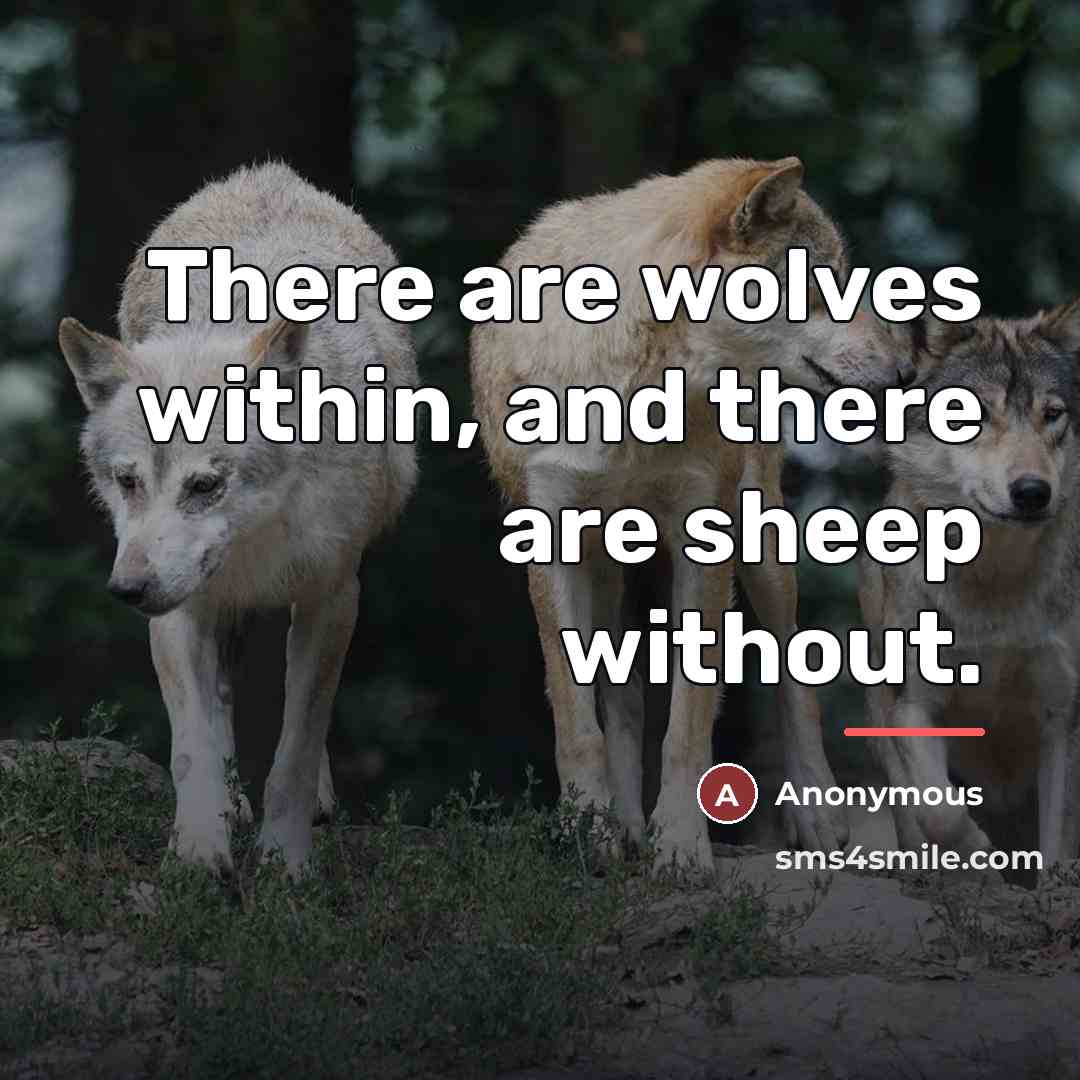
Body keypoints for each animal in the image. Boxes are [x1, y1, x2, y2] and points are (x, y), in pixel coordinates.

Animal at [59, 162, 418, 875]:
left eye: (205, 486)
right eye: (128, 482)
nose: (127, 589)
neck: (256, 539)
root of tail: (263, 174)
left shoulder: (334, 596)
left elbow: (297, 748)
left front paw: (287, 862)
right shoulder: (178, 610)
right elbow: (191, 745)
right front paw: (200, 849)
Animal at [470, 156, 911, 871]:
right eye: (826, 277)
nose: (904, 371)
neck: (636, 386)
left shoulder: (705, 543)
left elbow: (688, 722)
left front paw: (680, 843)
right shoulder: (551, 543)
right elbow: (576, 717)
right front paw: (588, 833)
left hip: (761, 550)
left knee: (794, 670)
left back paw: (816, 819)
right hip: (609, 568)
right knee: (620, 700)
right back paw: (622, 828)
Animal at [859, 304, 1080, 868]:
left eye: (1053, 414)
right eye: (965, 414)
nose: (1032, 492)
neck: (994, 583)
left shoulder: (1061, 717)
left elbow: (1057, 846)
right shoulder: (914, 706)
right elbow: (940, 812)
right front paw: (976, 853)